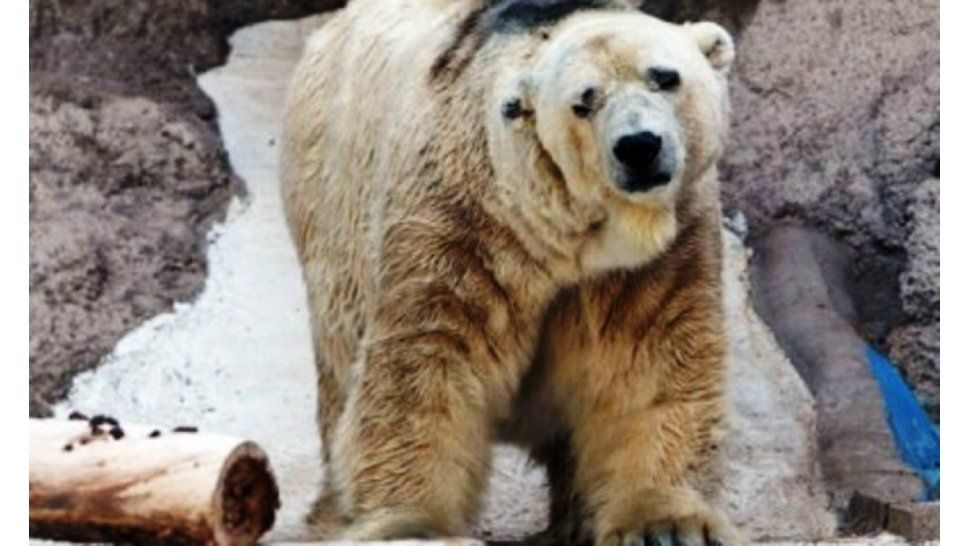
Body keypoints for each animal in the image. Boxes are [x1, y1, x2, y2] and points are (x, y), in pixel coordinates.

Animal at [281, 0, 740, 544]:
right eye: (584, 102)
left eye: (666, 77)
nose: (639, 146)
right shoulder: (462, 219)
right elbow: (428, 356)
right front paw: (412, 526)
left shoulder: (660, 252)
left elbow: (650, 357)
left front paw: (666, 524)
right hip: (331, 202)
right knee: (339, 358)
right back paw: (332, 512)